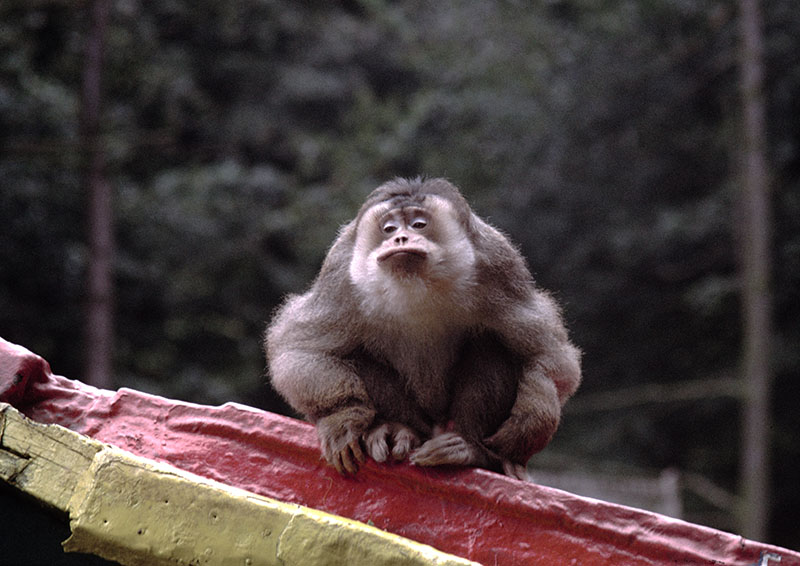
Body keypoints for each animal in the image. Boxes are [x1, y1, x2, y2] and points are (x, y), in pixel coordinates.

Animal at [265, 177, 581, 478]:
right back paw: (396, 428)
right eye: (389, 228)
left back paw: (468, 448)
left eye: (419, 224)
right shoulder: (340, 273)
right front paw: (343, 416)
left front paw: (531, 421)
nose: (401, 237)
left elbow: (546, 353)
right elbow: (301, 349)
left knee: (492, 344)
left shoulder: (498, 264)